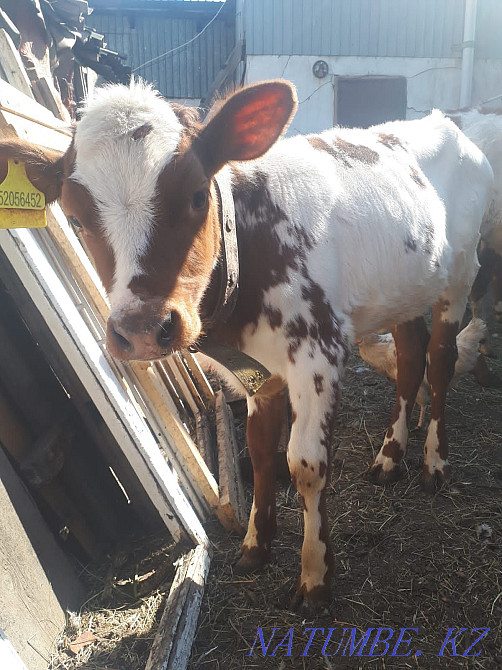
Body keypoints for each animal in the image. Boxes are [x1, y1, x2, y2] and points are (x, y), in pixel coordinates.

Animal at [0, 80, 493, 609]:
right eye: (73, 216)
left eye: (197, 195)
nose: (142, 330)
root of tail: (446, 123)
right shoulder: (255, 372)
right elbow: (258, 453)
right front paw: (256, 545)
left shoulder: (317, 354)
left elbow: (304, 465)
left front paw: (314, 575)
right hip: (404, 289)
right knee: (408, 356)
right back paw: (388, 458)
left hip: (461, 274)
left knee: (439, 360)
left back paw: (435, 463)